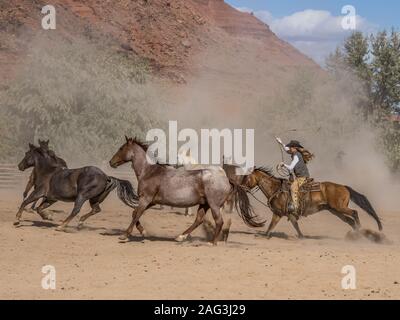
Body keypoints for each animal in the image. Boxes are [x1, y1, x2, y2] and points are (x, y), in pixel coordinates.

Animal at [109, 136, 266, 244]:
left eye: (121, 148)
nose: (111, 162)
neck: (149, 172)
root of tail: (226, 178)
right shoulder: (151, 201)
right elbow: (135, 213)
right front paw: (144, 232)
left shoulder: (145, 199)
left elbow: (136, 214)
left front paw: (125, 235)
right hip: (204, 204)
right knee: (199, 220)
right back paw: (181, 236)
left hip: (214, 205)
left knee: (219, 221)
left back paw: (212, 242)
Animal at [242, 168, 382, 238]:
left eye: (247, 176)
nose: (242, 187)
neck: (276, 189)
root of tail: (344, 187)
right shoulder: (287, 214)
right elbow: (294, 225)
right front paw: (301, 237)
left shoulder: (279, 213)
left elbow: (272, 226)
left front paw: (264, 236)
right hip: (335, 211)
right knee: (350, 221)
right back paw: (357, 235)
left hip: (340, 207)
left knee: (354, 213)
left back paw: (360, 231)